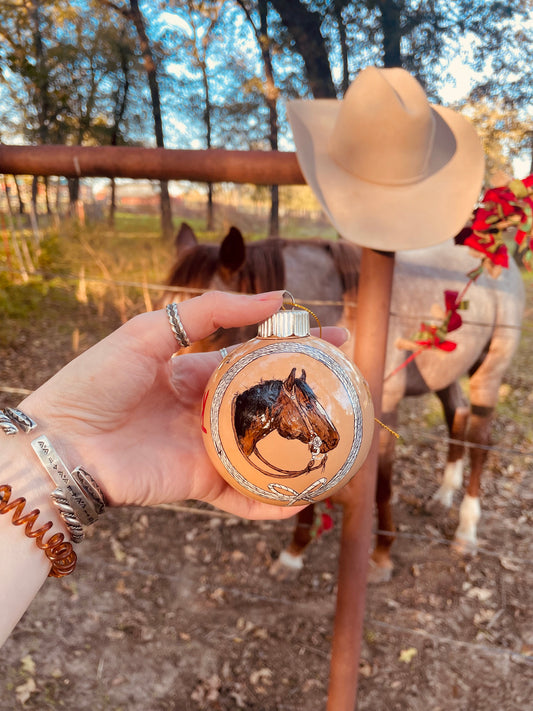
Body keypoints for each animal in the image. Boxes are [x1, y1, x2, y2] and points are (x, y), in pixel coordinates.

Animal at [163, 224, 524, 584]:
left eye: (216, 332)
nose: (177, 387)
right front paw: (294, 554)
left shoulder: (385, 412)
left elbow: (382, 486)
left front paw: (381, 555)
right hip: (446, 375)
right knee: (456, 415)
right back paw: (444, 495)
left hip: (488, 373)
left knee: (479, 441)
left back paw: (467, 529)